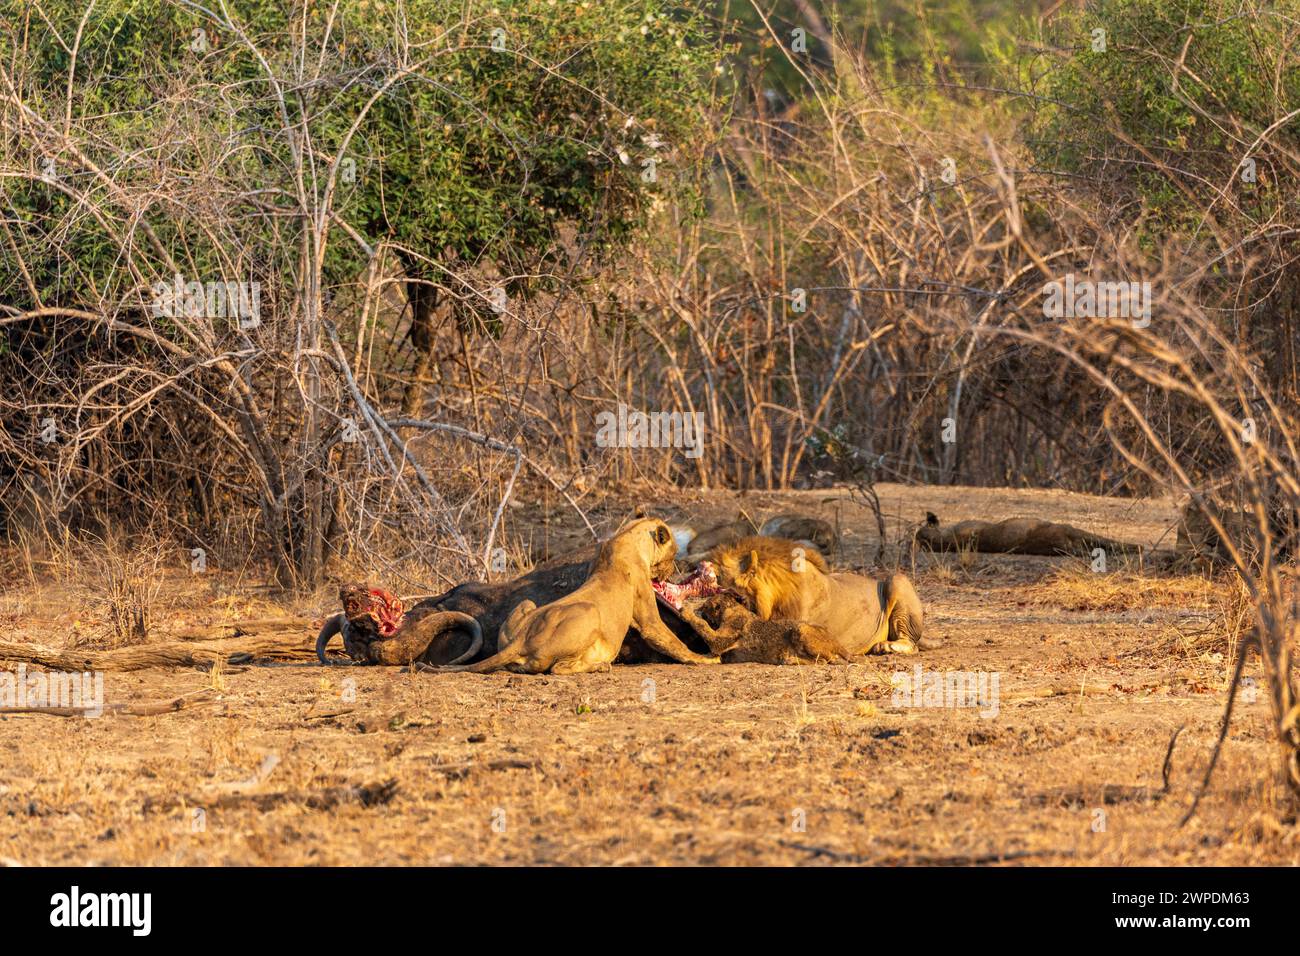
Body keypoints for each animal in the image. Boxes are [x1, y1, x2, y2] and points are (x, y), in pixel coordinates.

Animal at [436, 520, 722, 676]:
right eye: (673, 553)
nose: (672, 569)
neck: (624, 538)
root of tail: (520, 641)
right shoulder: (647, 616)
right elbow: (671, 641)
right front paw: (705, 659)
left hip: (526, 606)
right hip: (589, 612)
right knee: (558, 668)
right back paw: (600, 666)